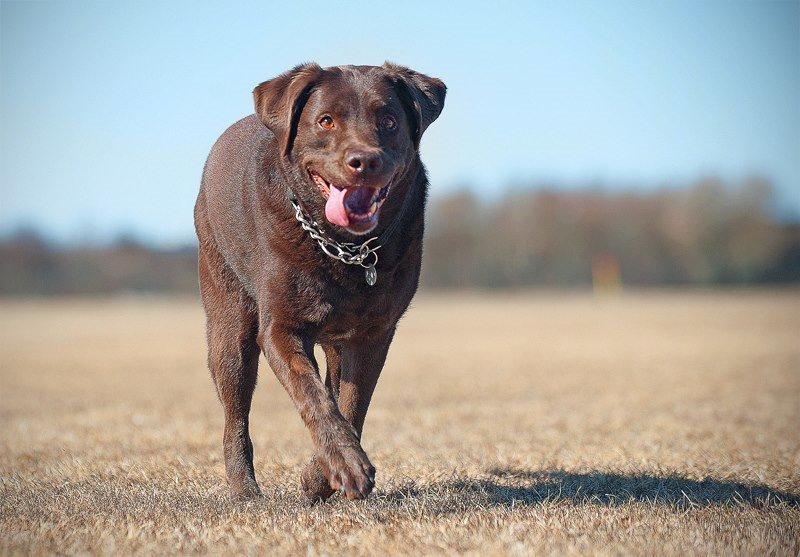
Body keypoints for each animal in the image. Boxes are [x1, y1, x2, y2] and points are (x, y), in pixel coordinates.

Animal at [193, 62, 444, 500]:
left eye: (389, 121)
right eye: (326, 120)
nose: (364, 160)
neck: (345, 249)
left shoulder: (373, 334)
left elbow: (351, 402)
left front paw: (319, 477)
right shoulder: (281, 327)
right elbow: (312, 396)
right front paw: (344, 465)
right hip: (227, 316)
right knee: (234, 411)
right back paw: (244, 489)